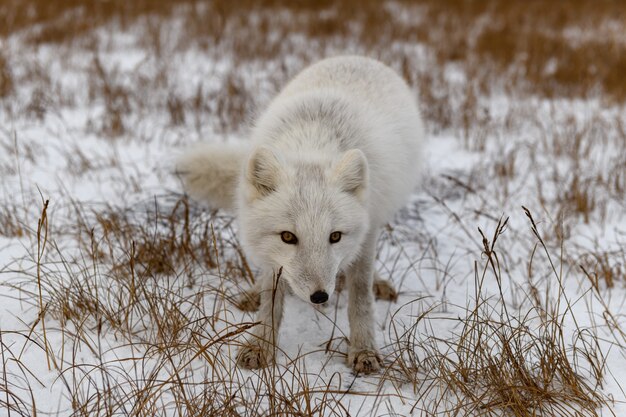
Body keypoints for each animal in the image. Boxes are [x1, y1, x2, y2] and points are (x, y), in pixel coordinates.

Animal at [177, 56, 424, 374]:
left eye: (335, 236)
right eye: (287, 236)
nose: (320, 297)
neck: (312, 147)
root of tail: (357, 57)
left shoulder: (365, 236)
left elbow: (360, 297)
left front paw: (363, 349)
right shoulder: (275, 256)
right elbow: (271, 299)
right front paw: (261, 344)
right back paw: (252, 292)